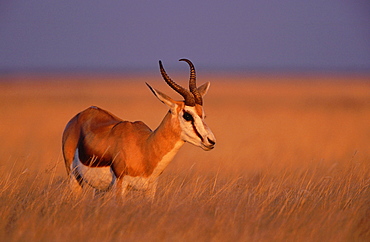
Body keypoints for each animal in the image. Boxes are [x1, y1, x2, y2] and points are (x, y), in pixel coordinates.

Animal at [61, 58, 215, 199]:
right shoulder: (121, 185)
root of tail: (83, 113)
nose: (211, 141)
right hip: (74, 177)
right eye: (187, 115)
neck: (145, 147)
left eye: (203, 115)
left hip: (100, 189)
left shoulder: (150, 188)